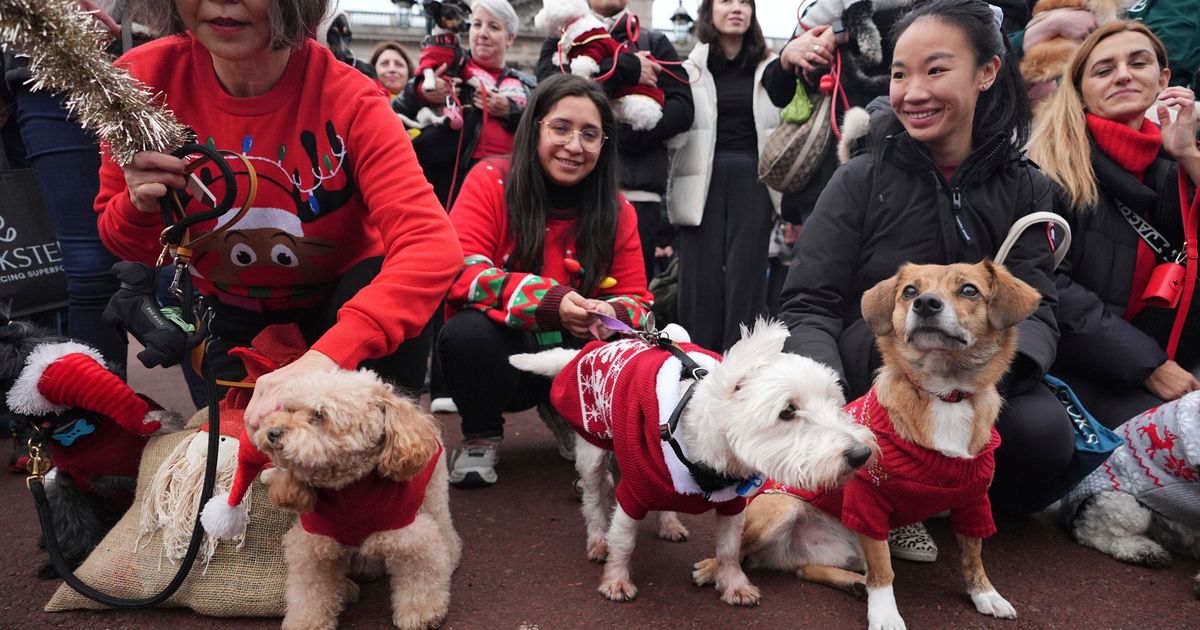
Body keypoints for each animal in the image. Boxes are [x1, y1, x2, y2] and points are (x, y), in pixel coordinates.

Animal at [700, 261, 1041, 628]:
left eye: (969, 290)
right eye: (909, 291)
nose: (925, 303)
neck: (945, 393)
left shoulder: (974, 499)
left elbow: (973, 556)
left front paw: (985, 594)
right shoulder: (868, 503)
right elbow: (884, 570)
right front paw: (885, 614)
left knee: (804, 570)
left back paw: (852, 582)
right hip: (780, 508)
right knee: (734, 550)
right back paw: (713, 570)